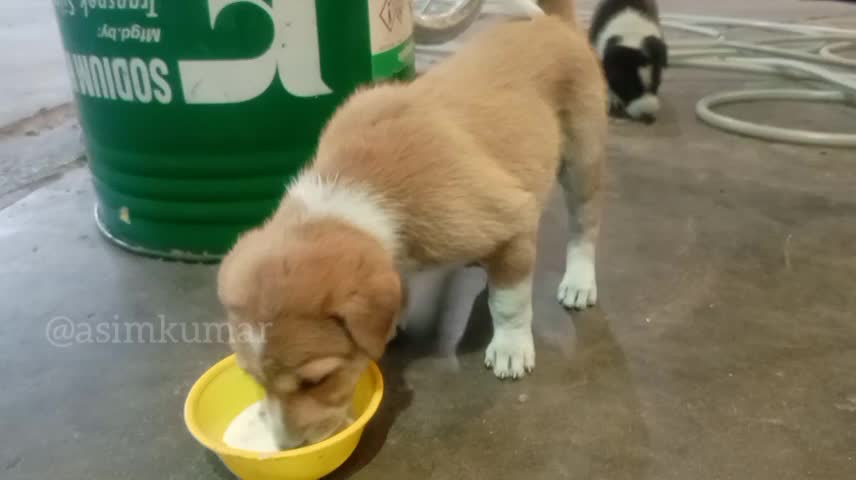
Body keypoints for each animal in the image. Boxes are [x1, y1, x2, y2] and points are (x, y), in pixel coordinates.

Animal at [217, 0, 612, 450]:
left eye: (317, 380)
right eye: (253, 379)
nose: (285, 447)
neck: (355, 187)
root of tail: (557, 25)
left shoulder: (512, 221)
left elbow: (509, 301)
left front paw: (511, 348)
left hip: (582, 160)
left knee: (585, 225)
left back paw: (579, 282)